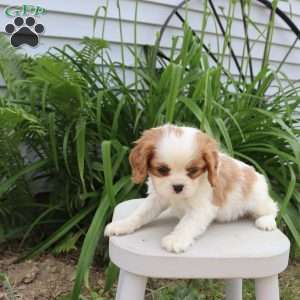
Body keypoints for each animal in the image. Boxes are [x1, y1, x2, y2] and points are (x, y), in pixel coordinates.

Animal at [104, 124, 278, 253]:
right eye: (162, 170)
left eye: (193, 171)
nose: (178, 186)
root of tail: (258, 175)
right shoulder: (157, 198)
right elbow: (140, 214)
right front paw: (123, 225)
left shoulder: (202, 208)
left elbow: (187, 224)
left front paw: (176, 239)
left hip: (258, 201)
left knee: (273, 209)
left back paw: (266, 221)